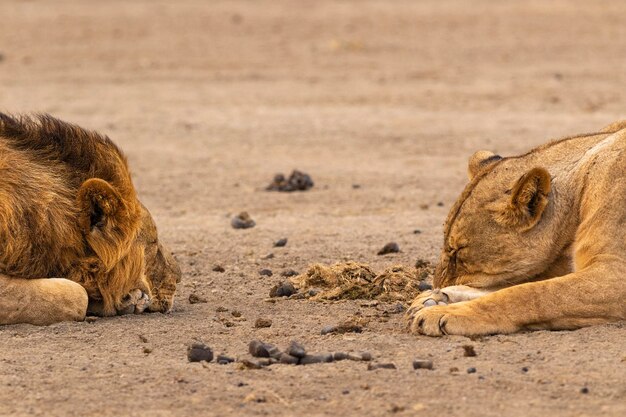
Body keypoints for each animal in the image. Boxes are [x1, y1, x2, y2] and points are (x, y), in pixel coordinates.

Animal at [404, 120, 624, 334]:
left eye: (458, 252)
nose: (438, 285)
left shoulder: (615, 273)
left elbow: (532, 293)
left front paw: (444, 311)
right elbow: (515, 284)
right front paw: (435, 298)